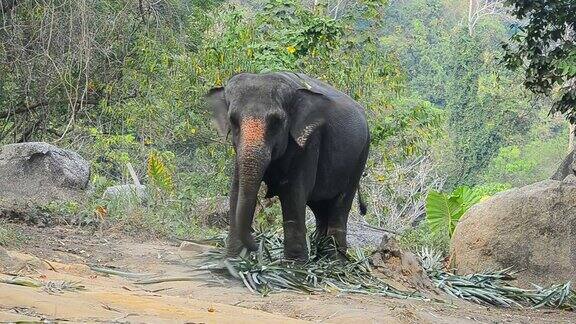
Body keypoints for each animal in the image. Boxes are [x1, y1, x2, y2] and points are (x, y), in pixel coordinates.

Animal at [207, 71, 368, 260]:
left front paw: (294, 265)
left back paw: (335, 262)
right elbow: (236, 191)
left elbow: (293, 193)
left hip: (360, 158)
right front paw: (232, 260)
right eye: (233, 120)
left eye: (276, 121)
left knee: (340, 206)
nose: (258, 244)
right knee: (321, 208)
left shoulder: (308, 142)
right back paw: (321, 257)